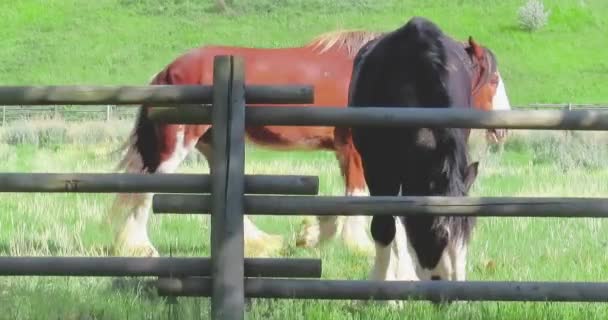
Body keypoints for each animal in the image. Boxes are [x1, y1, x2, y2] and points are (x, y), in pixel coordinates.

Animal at [107, 27, 510, 258]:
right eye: (492, 79)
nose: (502, 129)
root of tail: (167, 71)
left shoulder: (346, 154)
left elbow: (345, 201)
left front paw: (313, 235)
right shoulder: (357, 152)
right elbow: (357, 198)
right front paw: (356, 245)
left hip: (214, 145)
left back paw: (260, 243)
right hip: (176, 144)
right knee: (146, 190)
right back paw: (140, 247)